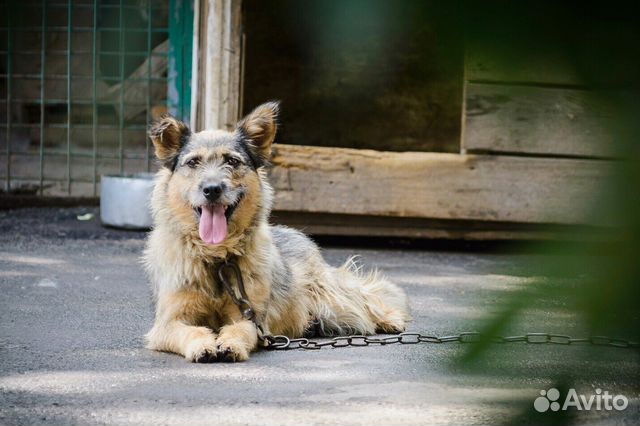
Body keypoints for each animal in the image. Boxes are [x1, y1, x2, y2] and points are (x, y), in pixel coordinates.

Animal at [144, 101, 410, 362]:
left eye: (232, 161)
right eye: (193, 162)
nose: (212, 189)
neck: (217, 257)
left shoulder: (251, 317)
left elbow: (239, 330)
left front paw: (230, 345)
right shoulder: (167, 323)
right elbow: (191, 331)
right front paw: (202, 346)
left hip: (332, 300)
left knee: (367, 295)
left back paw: (390, 319)